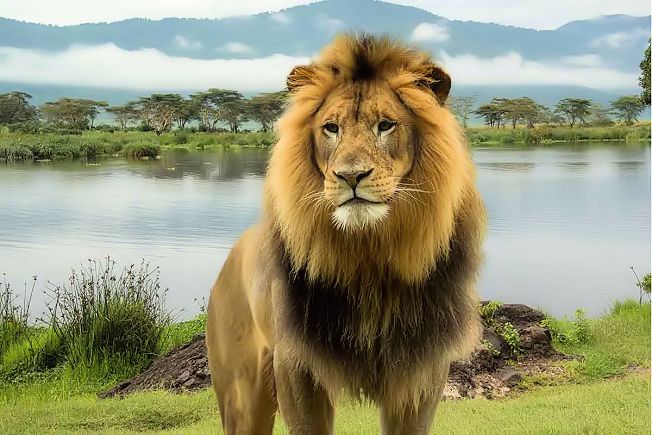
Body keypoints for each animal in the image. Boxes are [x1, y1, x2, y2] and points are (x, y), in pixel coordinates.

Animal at [206, 34, 486, 434]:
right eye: (331, 128)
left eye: (385, 125)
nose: (351, 176)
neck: (367, 255)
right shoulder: (295, 364)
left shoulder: (423, 369)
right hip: (242, 395)